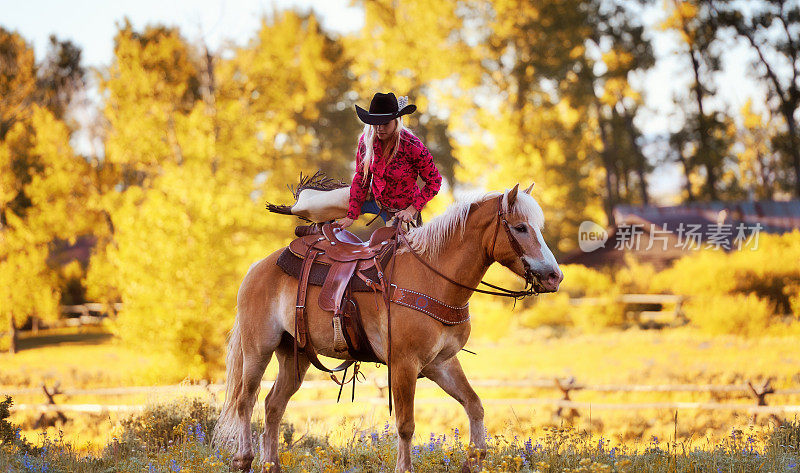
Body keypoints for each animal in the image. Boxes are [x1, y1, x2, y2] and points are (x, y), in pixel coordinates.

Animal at [212, 183, 564, 472]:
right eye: (520, 227)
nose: (554, 277)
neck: (434, 276)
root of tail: (257, 267)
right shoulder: (404, 364)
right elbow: (406, 424)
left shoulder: (441, 363)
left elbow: (474, 405)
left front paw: (473, 460)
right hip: (258, 347)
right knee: (246, 399)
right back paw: (243, 459)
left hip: (294, 355)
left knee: (274, 405)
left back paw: (270, 464)